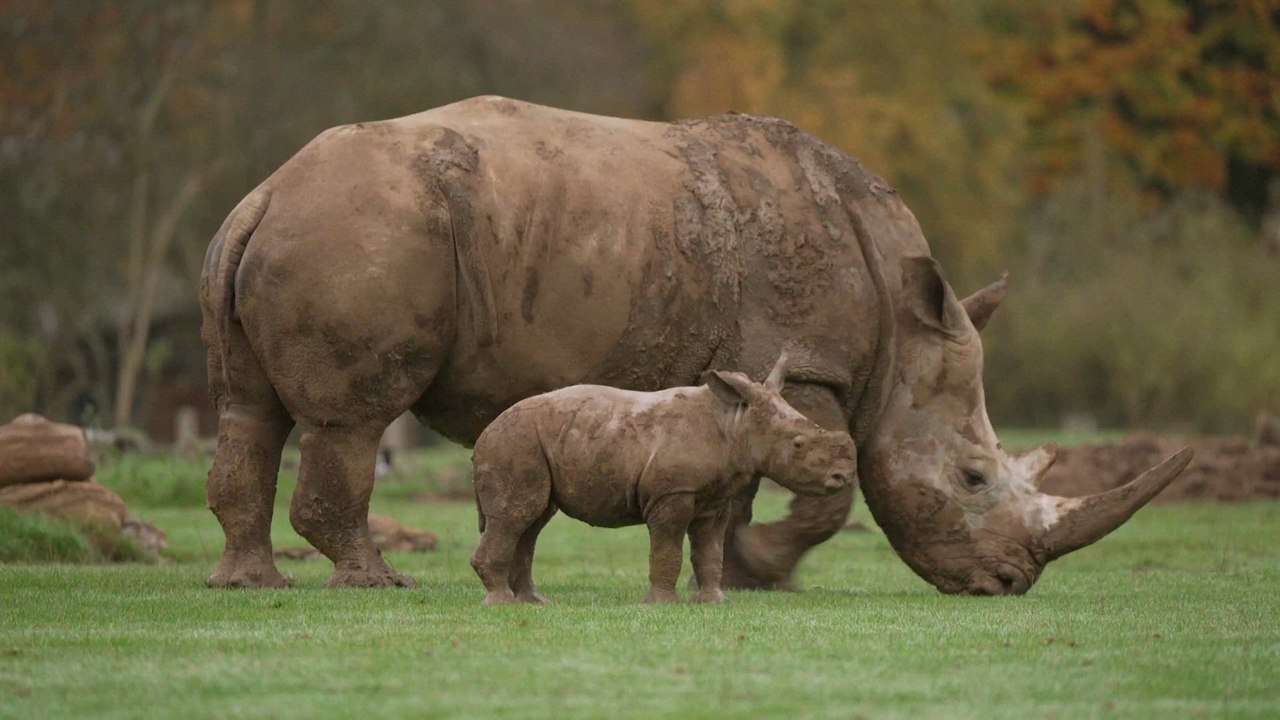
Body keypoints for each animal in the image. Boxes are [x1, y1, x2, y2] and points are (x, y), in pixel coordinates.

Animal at [470, 353, 856, 605]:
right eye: (799, 444)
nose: (844, 476)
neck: (734, 422)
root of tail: (485, 432)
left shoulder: (715, 498)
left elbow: (709, 549)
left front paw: (713, 601)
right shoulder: (672, 493)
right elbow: (668, 547)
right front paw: (661, 604)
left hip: (533, 440)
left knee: (533, 521)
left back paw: (534, 602)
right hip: (514, 442)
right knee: (516, 516)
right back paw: (502, 603)